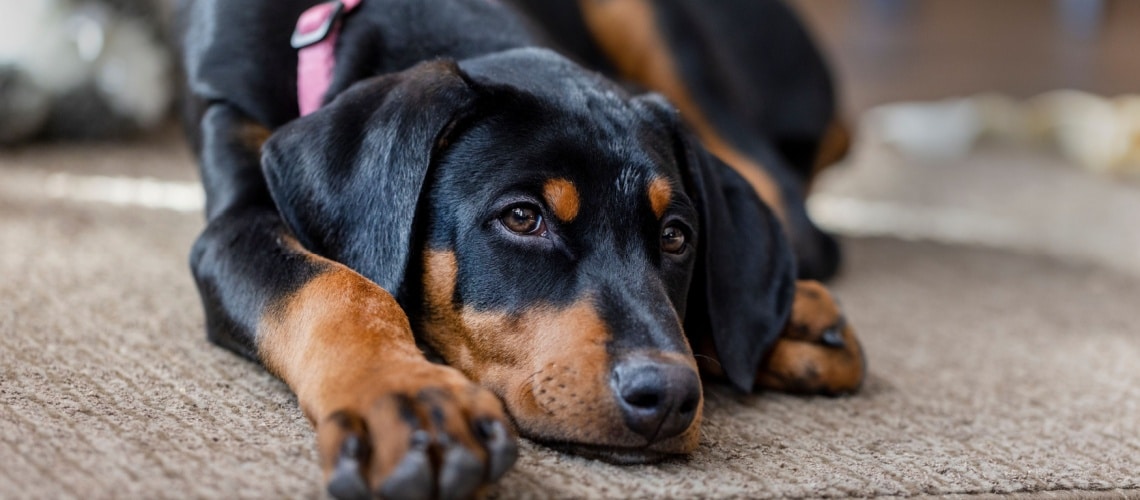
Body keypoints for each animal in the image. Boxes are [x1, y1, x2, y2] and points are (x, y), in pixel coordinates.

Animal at [175, 0, 861, 496]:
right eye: (523, 218)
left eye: (675, 236)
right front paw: (407, 399)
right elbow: (335, 284)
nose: (666, 396)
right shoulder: (232, 217)